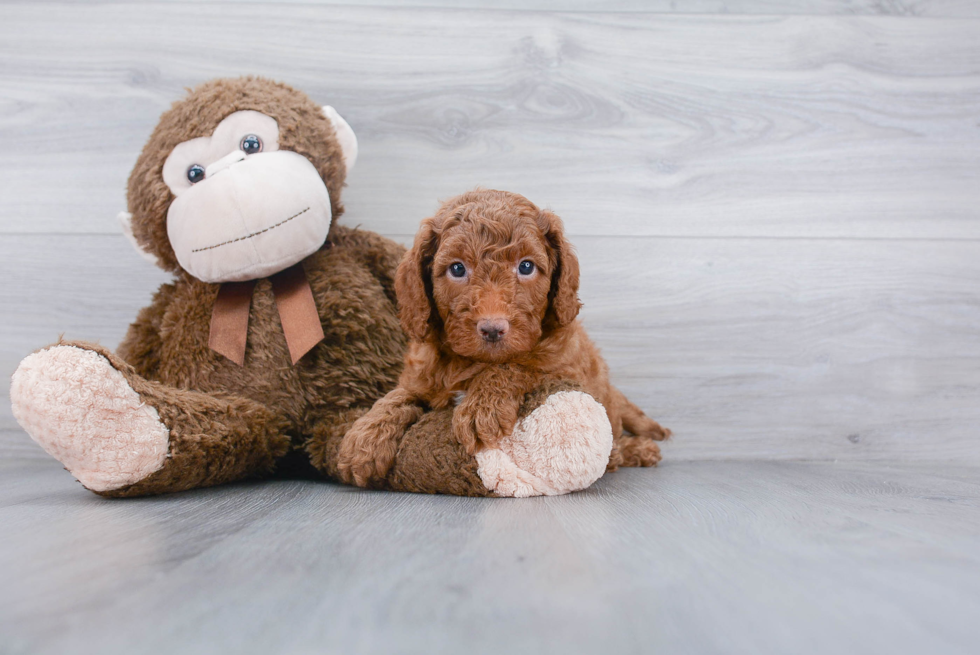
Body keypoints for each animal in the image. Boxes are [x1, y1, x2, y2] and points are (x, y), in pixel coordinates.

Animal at [334, 190, 668, 486]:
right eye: (457, 268)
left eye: (526, 266)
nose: (493, 328)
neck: (471, 363)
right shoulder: (422, 374)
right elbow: (401, 394)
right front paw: (365, 437)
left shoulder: (565, 368)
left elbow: (519, 365)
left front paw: (482, 406)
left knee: (616, 438)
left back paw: (638, 450)